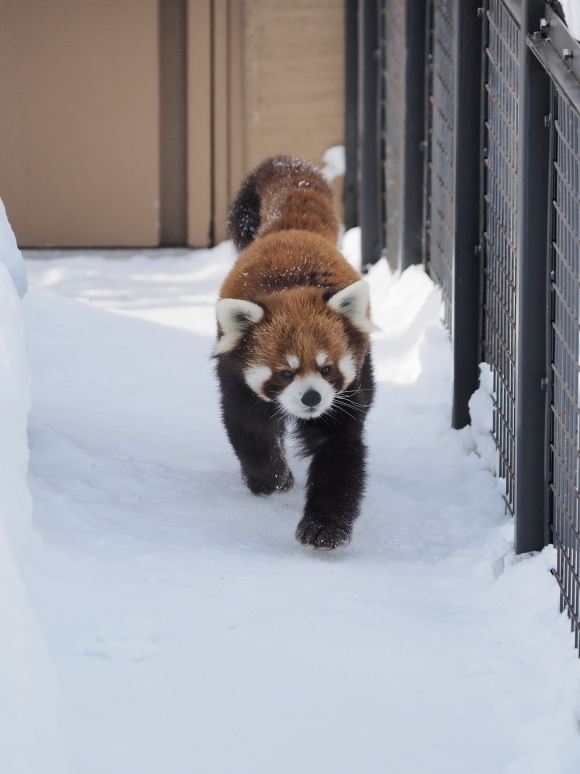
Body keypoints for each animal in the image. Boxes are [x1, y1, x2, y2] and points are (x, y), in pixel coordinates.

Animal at [214, 155, 376, 548]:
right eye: (285, 372)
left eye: (327, 368)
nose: (312, 398)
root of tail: (292, 230)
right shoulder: (234, 378)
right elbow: (248, 428)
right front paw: (271, 479)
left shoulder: (344, 397)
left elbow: (339, 452)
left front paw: (324, 528)